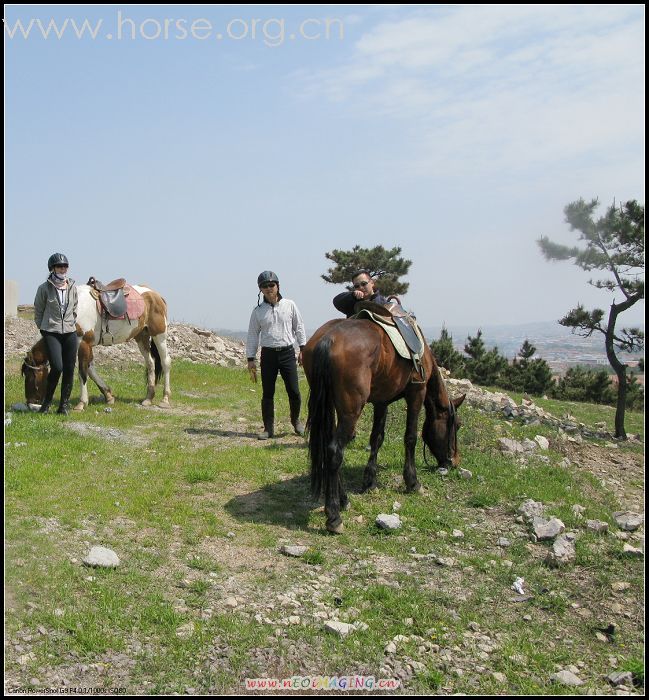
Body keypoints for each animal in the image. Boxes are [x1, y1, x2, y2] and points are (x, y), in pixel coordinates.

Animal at [22, 284, 171, 410]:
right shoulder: (88, 346)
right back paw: (148, 398)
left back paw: (165, 399)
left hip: (159, 334)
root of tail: (156, 295)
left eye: (30, 376)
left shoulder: (83, 343)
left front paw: (82, 403)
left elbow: (82, 371)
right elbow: (90, 370)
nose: (30, 403)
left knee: (165, 362)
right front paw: (109, 396)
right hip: (142, 336)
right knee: (150, 363)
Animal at [302, 320, 464, 532]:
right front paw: (413, 482)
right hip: (351, 411)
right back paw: (334, 516)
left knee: (327, 447)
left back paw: (344, 500)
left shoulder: (381, 401)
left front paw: (370, 481)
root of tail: (328, 339)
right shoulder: (417, 392)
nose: (454, 461)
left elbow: (377, 438)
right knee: (334, 451)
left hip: (329, 405)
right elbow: (410, 437)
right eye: (458, 425)